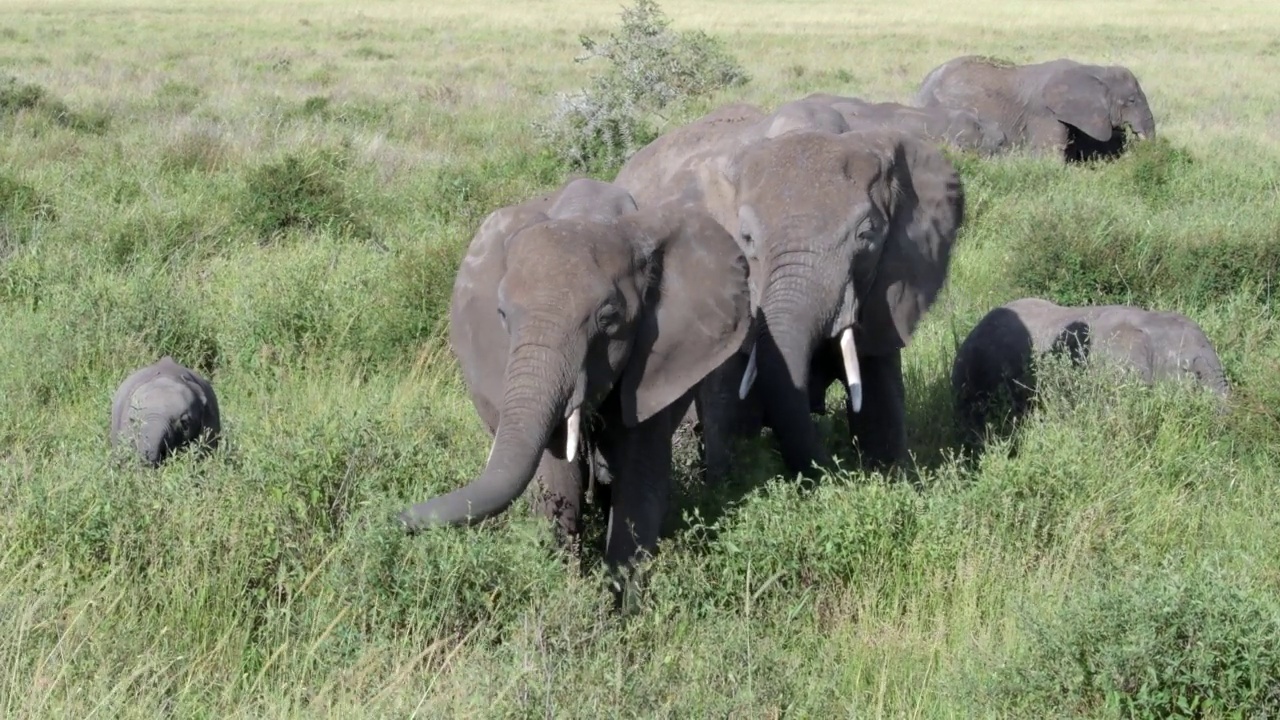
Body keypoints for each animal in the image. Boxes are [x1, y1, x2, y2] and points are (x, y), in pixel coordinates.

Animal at [399, 175, 752, 589]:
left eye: (608, 318)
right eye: (502, 314)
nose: (398, 519)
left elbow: (639, 483)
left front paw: (617, 599)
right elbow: (556, 479)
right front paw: (570, 589)